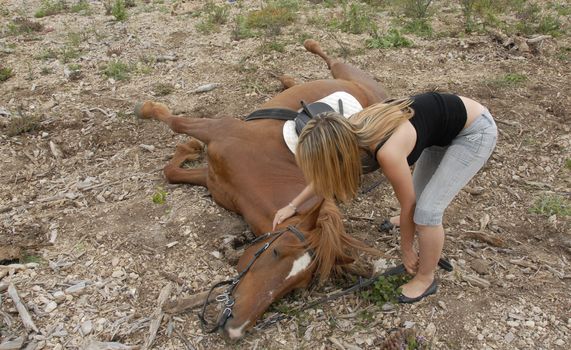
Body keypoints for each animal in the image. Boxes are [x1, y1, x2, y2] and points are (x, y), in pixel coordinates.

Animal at [136, 39, 392, 340]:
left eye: (296, 288)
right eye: (275, 251)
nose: (235, 329)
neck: (265, 170)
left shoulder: (214, 180)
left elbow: (173, 170)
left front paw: (186, 148)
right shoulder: (217, 132)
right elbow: (176, 129)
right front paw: (151, 111)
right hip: (347, 72)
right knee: (330, 58)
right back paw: (301, 57)